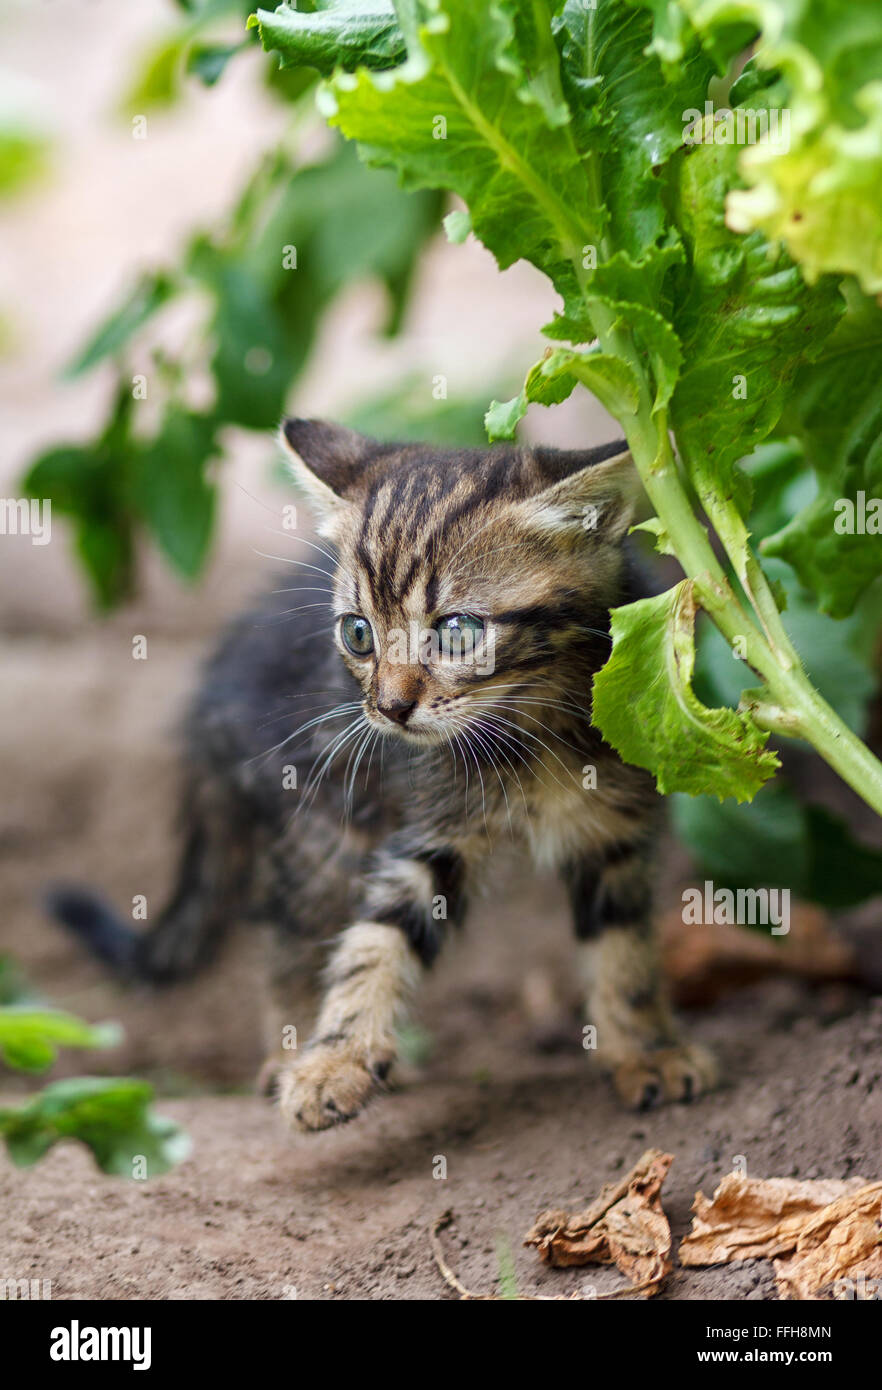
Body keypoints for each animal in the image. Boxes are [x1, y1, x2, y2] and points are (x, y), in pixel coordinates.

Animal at [51, 419, 716, 1128]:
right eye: (359, 634)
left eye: (457, 632)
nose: (391, 708)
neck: (528, 730)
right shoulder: (426, 834)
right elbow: (375, 942)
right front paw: (333, 1062)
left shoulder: (614, 833)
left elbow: (625, 950)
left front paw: (646, 1050)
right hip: (322, 817)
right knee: (292, 935)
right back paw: (289, 1052)